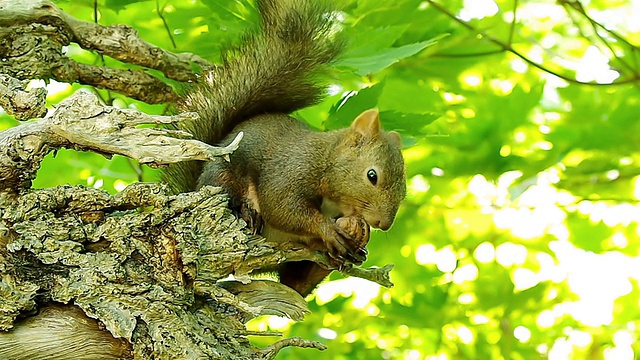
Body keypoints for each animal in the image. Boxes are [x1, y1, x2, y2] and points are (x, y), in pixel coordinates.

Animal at [162, 0, 408, 296]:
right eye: (372, 176)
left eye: (404, 191)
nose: (383, 224)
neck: (326, 158)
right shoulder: (292, 167)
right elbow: (281, 206)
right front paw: (327, 229)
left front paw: (359, 235)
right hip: (222, 177)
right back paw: (247, 214)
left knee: (297, 283)